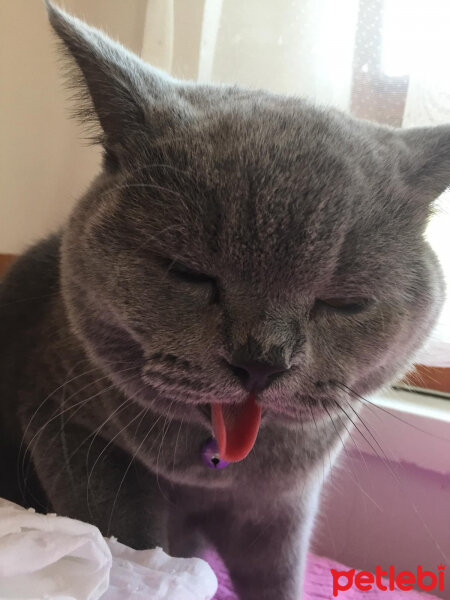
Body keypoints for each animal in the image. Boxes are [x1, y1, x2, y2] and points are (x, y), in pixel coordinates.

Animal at [0, 2, 446, 596]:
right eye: (189, 273)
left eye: (343, 302)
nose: (261, 361)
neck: (215, 468)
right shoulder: (69, 430)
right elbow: (130, 541)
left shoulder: (280, 508)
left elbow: (277, 576)